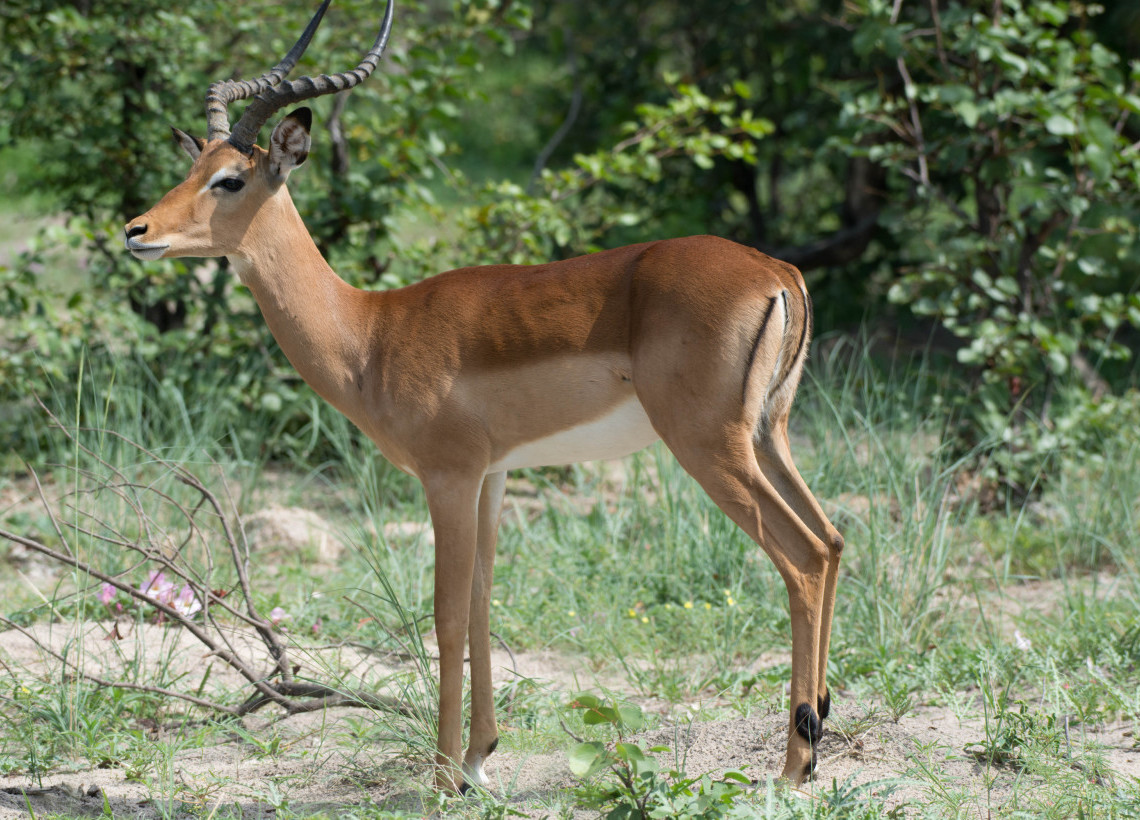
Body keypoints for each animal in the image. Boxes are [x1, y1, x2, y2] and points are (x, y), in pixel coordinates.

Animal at [124, 0, 844, 793]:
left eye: (229, 179)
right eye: (191, 167)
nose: (137, 230)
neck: (369, 332)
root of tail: (778, 273)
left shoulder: (448, 474)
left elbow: (443, 615)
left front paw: (442, 776)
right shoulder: (494, 475)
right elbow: (481, 605)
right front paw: (478, 757)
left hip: (708, 445)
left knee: (804, 556)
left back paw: (795, 763)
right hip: (768, 436)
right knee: (835, 539)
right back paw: (817, 726)